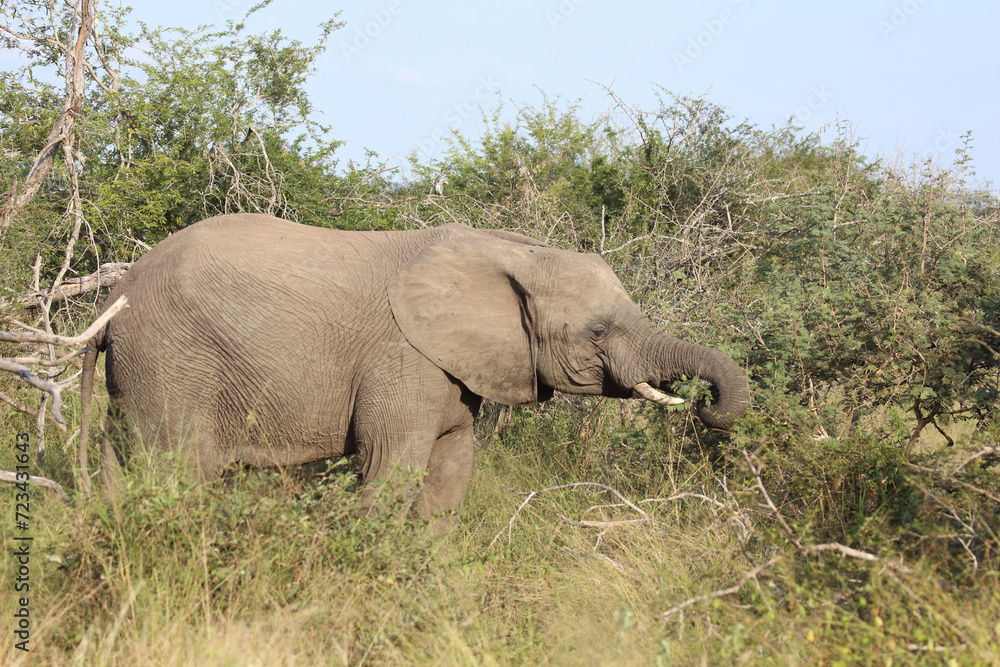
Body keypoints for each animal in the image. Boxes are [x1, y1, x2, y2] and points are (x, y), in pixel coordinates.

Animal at [80, 214, 749, 519]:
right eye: (598, 332)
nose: (705, 403)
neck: (506, 249)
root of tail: (115, 300)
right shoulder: (402, 358)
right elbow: (390, 469)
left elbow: (450, 474)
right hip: (174, 361)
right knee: (178, 471)